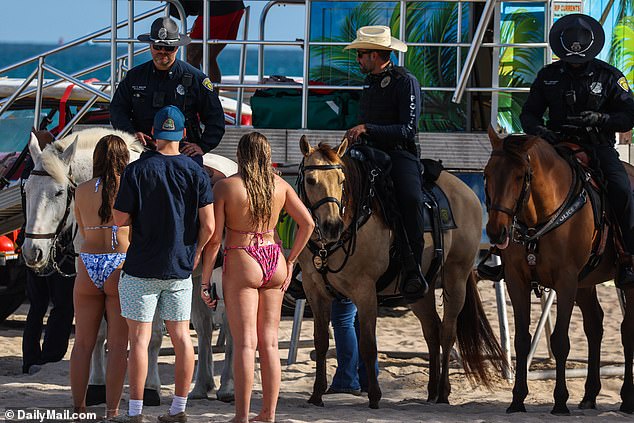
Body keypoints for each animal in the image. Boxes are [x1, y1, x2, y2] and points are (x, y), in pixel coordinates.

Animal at [22, 126, 236, 408]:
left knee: (231, 328)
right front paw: (97, 386)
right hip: (197, 278)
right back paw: (201, 386)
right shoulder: (93, 275)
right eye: (27, 190)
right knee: (203, 328)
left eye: (59, 192)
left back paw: (227, 386)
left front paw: (150, 388)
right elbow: (100, 333)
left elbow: (152, 335)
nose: (32, 251)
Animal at [298, 137, 508, 410]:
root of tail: (467, 193)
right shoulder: (315, 291)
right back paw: (431, 391)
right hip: (419, 291)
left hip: (456, 278)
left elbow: (368, 344)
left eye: (342, 181)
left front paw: (374, 396)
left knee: (447, 332)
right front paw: (316, 395)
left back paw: (443, 392)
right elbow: (321, 341)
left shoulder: (365, 292)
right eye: (311, 180)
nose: (332, 226)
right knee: (432, 332)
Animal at [484, 128, 632, 414]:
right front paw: (517, 399)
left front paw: (560, 401)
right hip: (585, 283)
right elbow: (521, 340)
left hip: (625, 284)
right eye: (486, 173)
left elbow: (560, 341)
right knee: (595, 325)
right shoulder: (516, 280)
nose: (496, 232)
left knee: (627, 328)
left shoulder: (565, 281)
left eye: (520, 176)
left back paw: (628, 398)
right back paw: (590, 394)